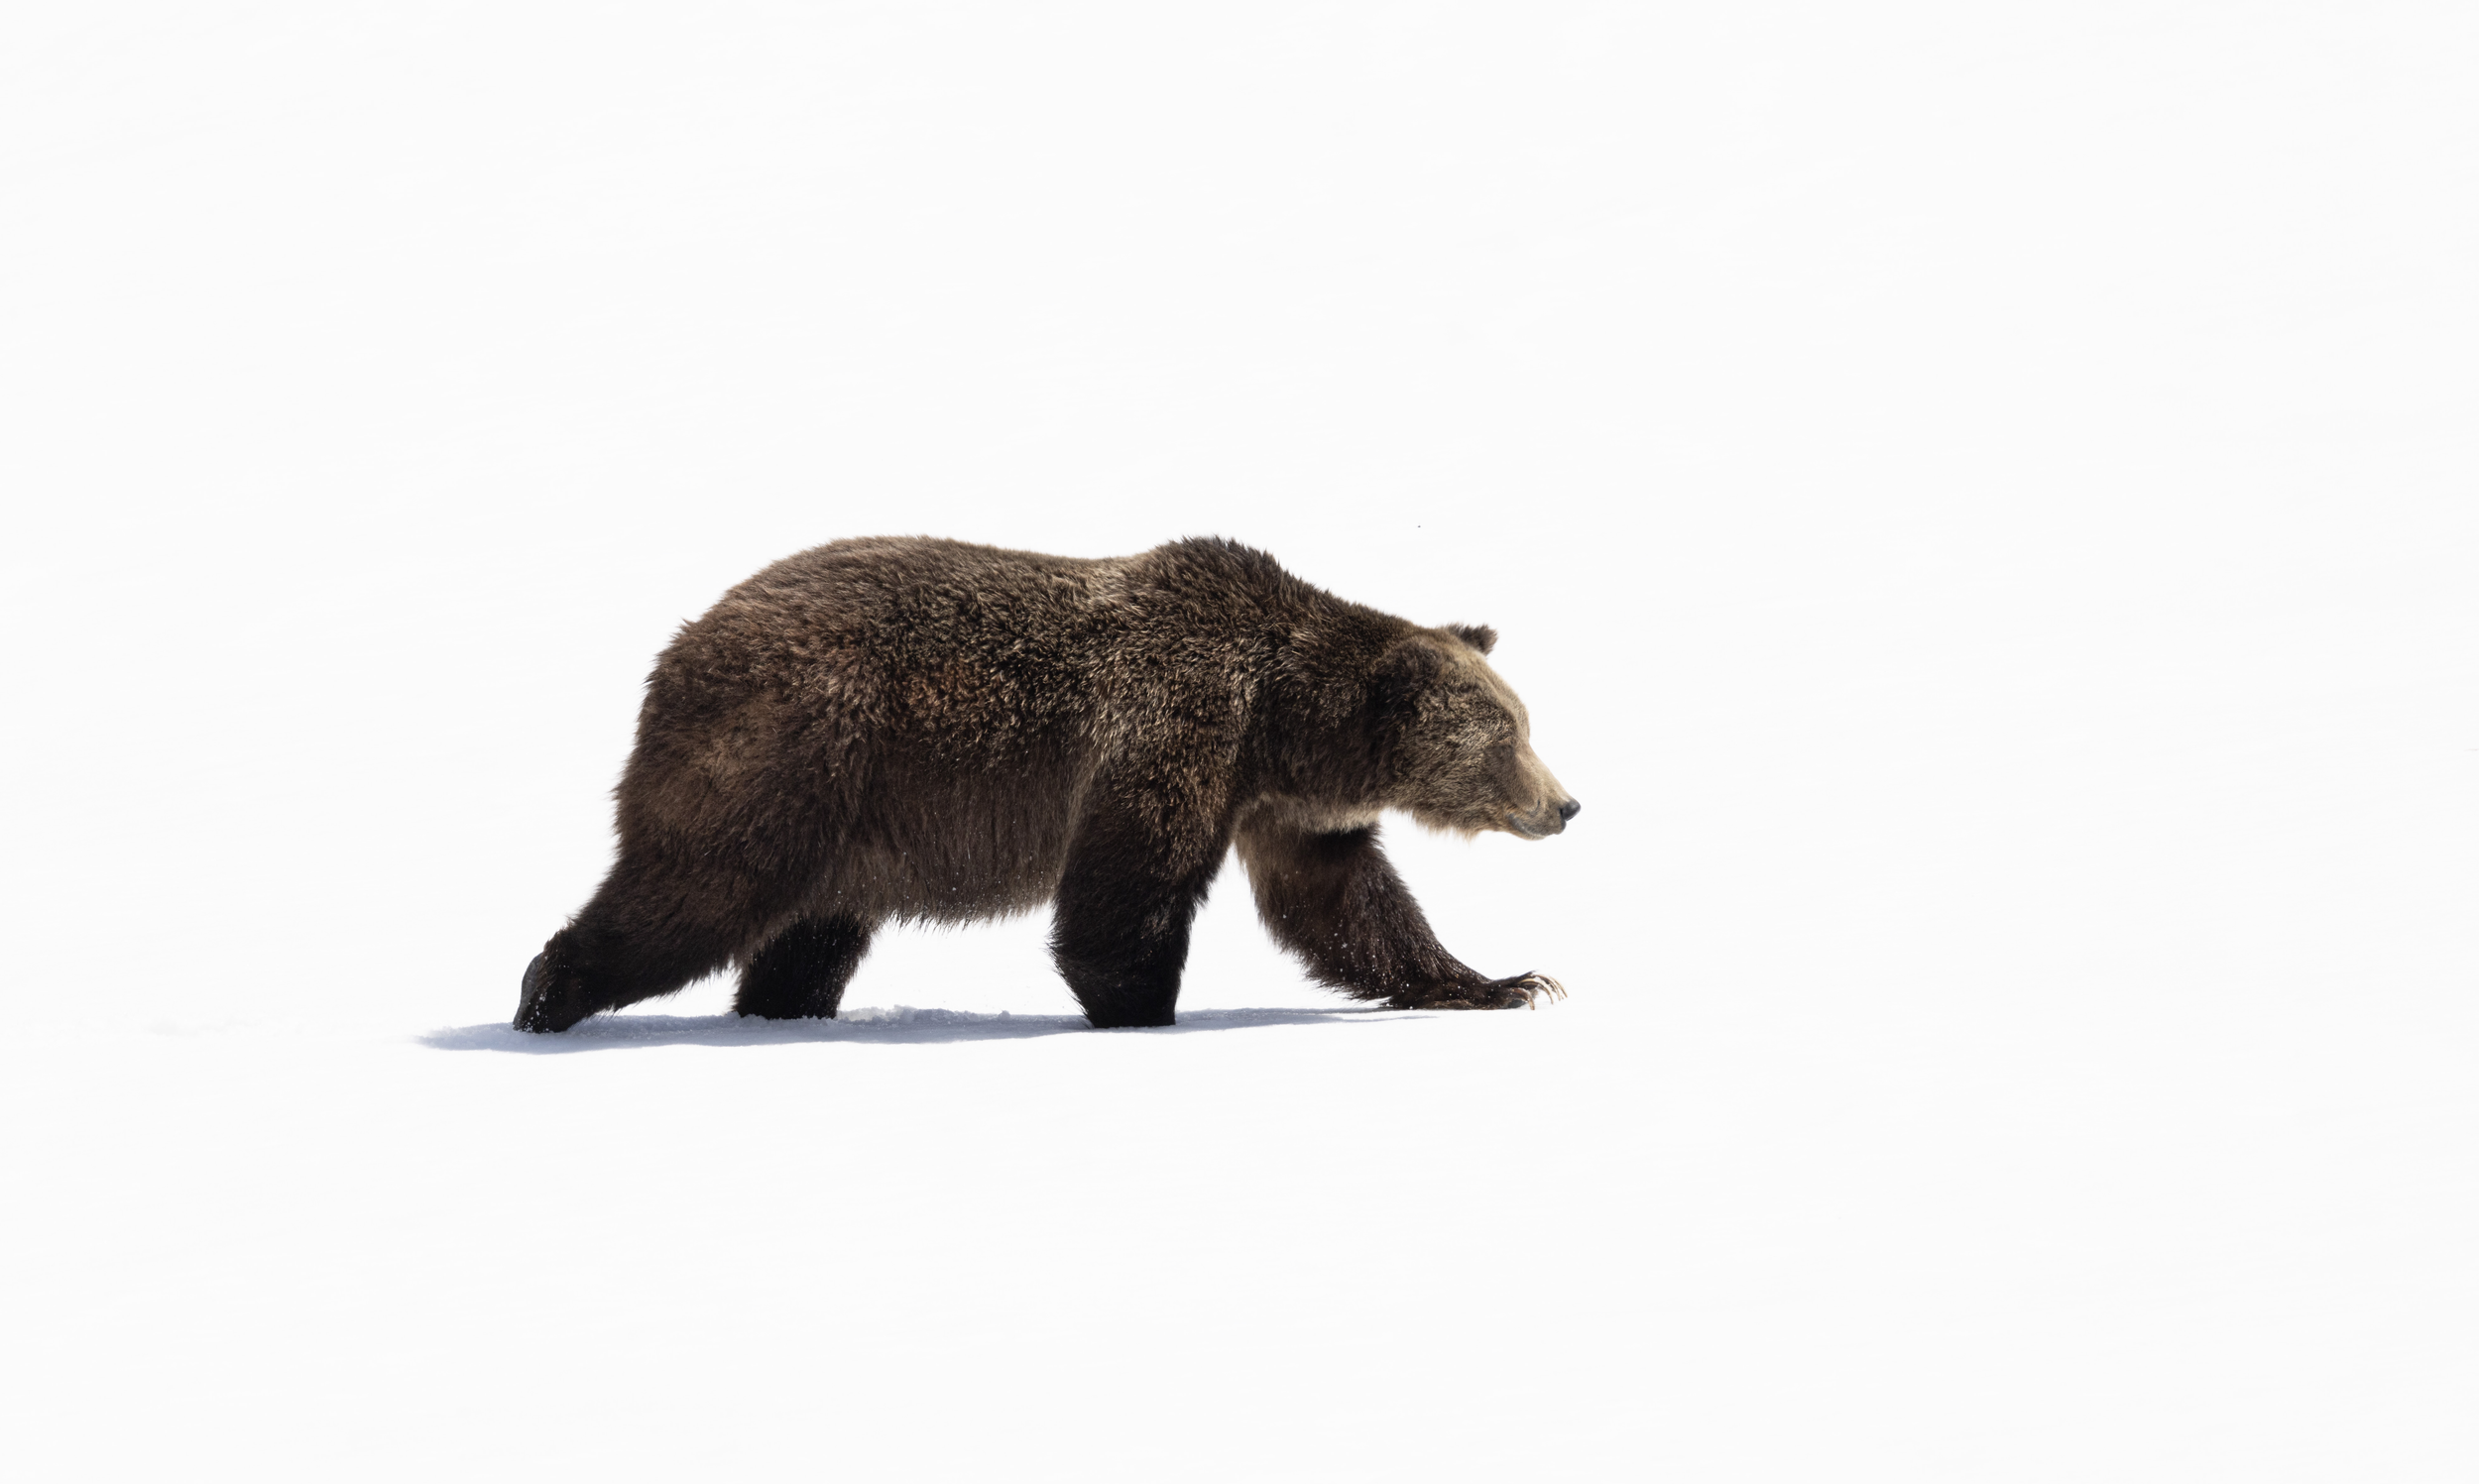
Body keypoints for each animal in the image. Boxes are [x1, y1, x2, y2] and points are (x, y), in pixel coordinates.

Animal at [516, 536, 1579, 1032]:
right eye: (1507, 736)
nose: (1566, 804)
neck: (1281, 721)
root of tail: (679, 646)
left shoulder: (1284, 807)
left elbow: (1347, 905)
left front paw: (1508, 981)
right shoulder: (1175, 732)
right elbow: (1122, 899)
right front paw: (1145, 1007)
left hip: (850, 817)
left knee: (809, 933)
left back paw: (782, 1006)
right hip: (794, 751)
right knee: (696, 891)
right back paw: (545, 1000)